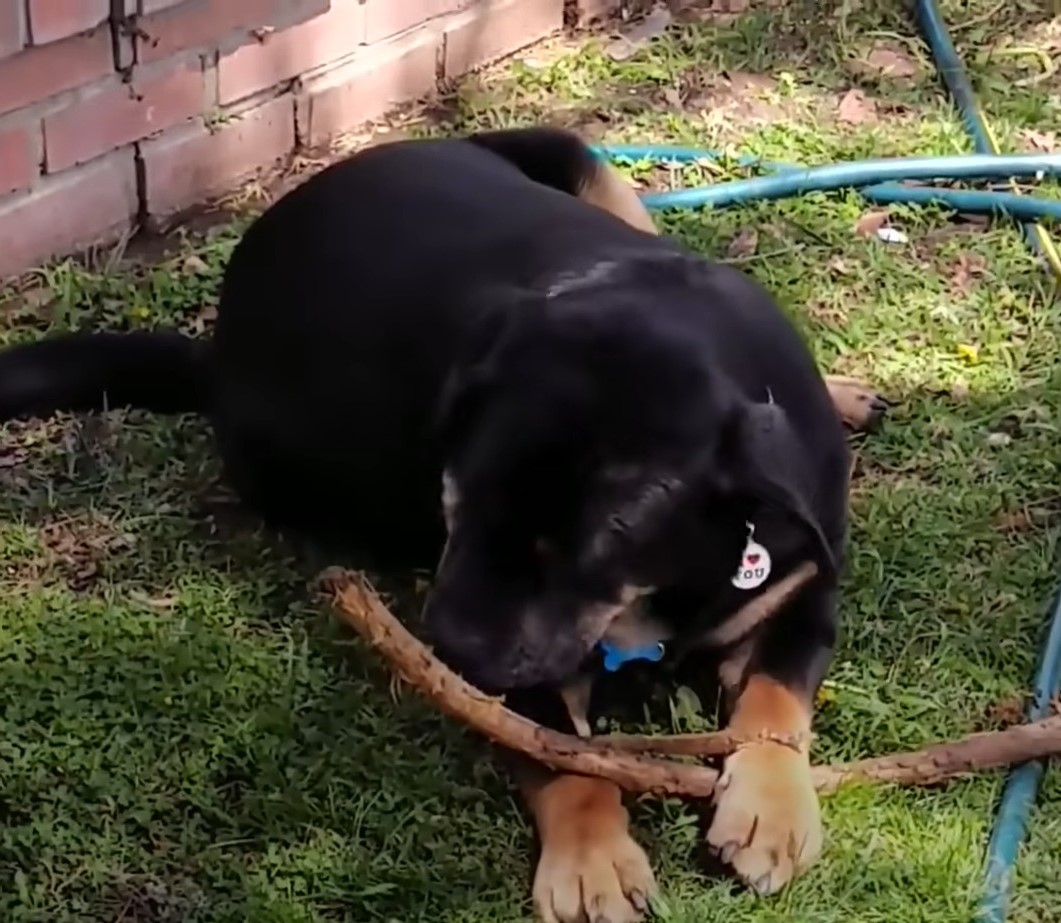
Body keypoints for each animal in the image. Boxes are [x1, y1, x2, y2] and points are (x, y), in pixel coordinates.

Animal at [0, 126, 886, 920]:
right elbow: (555, 749)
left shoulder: (801, 588)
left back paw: (845, 391)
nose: (453, 646)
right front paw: (592, 859)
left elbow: (775, 696)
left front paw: (770, 809)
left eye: (615, 523)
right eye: (457, 479)